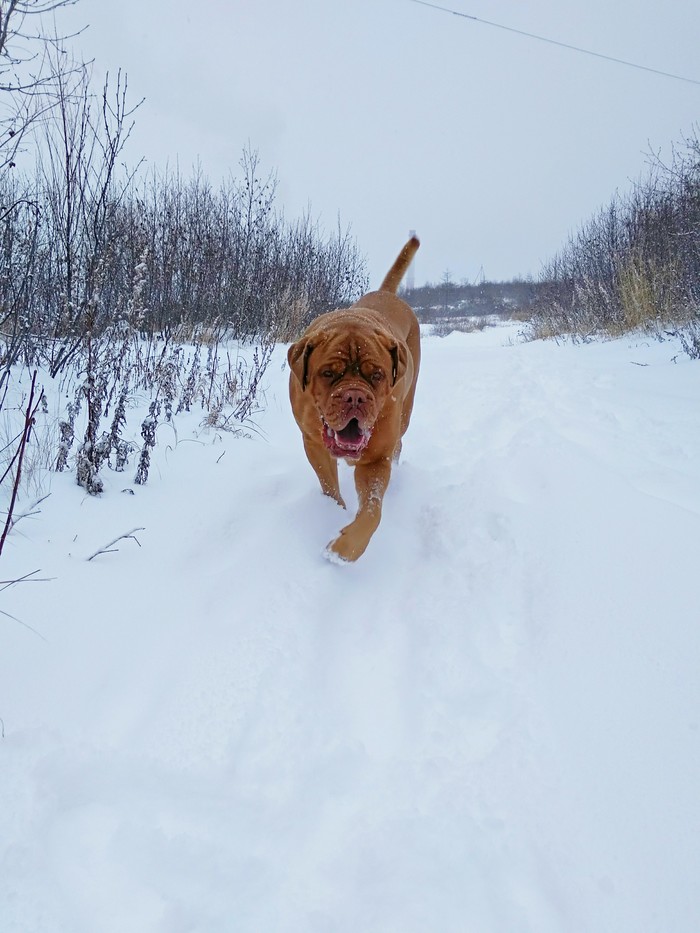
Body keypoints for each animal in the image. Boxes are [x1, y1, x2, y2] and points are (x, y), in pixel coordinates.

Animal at [286, 237, 418, 564]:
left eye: (377, 375)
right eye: (328, 373)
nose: (355, 395)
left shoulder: (375, 458)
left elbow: (372, 511)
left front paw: (344, 548)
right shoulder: (314, 444)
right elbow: (329, 486)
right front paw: (334, 513)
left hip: (405, 413)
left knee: (399, 441)